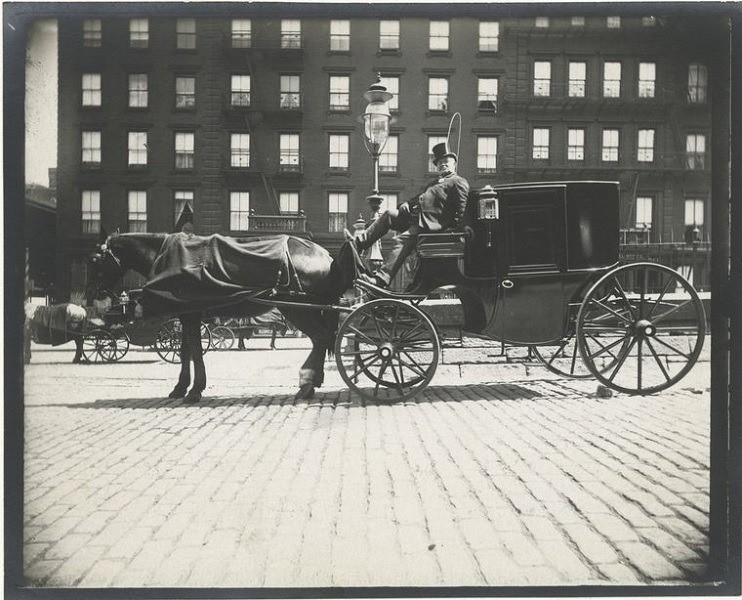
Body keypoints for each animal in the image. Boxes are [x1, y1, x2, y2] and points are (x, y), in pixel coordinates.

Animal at [93, 231, 360, 404]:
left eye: (96, 260)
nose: (95, 295)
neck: (166, 256)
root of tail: (326, 256)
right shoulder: (187, 314)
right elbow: (185, 351)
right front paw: (180, 387)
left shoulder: (191, 316)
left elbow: (195, 350)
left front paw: (194, 390)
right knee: (322, 339)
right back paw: (312, 381)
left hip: (297, 308)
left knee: (320, 337)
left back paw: (306, 383)